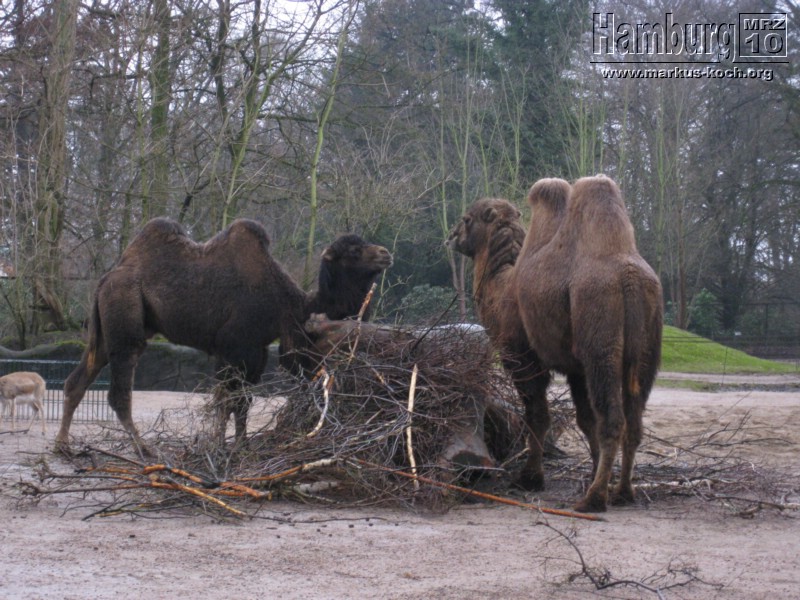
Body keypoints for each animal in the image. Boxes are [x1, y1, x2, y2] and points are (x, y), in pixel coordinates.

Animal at [55, 218, 392, 455]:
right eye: (354, 251)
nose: (385, 253)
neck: (288, 305)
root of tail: (104, 279)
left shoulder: (256, 351)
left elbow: (242, 401)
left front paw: (241, 446)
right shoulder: (235, 347)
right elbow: (227, 400)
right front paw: (218, 447)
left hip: (107, 328)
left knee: (78, 378)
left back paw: (63, 446)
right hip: (125, 314)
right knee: (119, 389)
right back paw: (145, 450)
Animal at [448, 176, 663, 512]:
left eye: (467, 219)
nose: (453, 236)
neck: (500, 285)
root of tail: (629, 280)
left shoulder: (522, 358)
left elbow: (537, 416)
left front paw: (530, 478)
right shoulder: (576, 369)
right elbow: (585, 420)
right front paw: (591, 474)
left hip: (600, 344)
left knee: (613, 419)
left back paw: (594, 499)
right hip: (647, 349)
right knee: (634, 418)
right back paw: (623, 492)